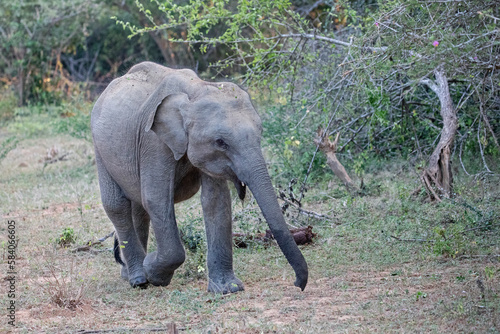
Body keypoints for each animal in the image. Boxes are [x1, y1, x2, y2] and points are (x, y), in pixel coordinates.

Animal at [91, 61, 308, 294]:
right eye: (221, 142)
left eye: (260, 134)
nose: (297, 284)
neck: (195, 91)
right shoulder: (153, 142)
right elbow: (156, 199)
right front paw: (153, 272)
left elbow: (215, 201)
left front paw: (227, 289)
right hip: (99, 147)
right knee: (118, 205)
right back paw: (139, 278)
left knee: (138, 206)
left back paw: (129, 273)